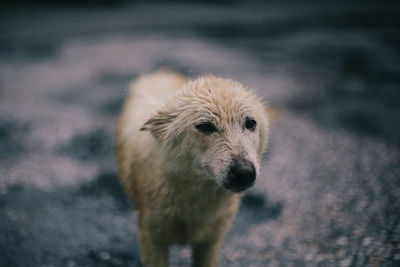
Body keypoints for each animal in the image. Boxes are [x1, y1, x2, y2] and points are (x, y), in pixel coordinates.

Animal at [115, 70, 272, 266]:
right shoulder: (151, 237)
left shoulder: (210, 242)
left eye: (250, 123)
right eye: (205, 126)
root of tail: (160, 72)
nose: (244, 172)